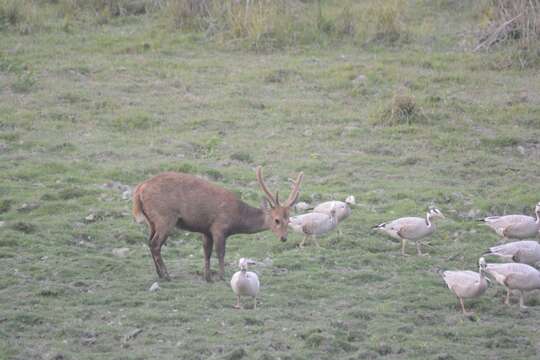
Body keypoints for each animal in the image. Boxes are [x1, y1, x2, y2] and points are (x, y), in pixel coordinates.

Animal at [131, 166, 304, 282]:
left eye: (289, 219)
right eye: (276, 220)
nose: (284, 238)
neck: (237, 218)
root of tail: (139, 190)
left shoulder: (206, 230)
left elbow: (206, 252)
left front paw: (207, 277)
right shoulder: (219, 227)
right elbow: (220, 252)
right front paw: (222, 276)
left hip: (151, 221)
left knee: (149, 242)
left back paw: (159, 274)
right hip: (165, 217)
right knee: (155, 244)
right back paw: (166, 275)